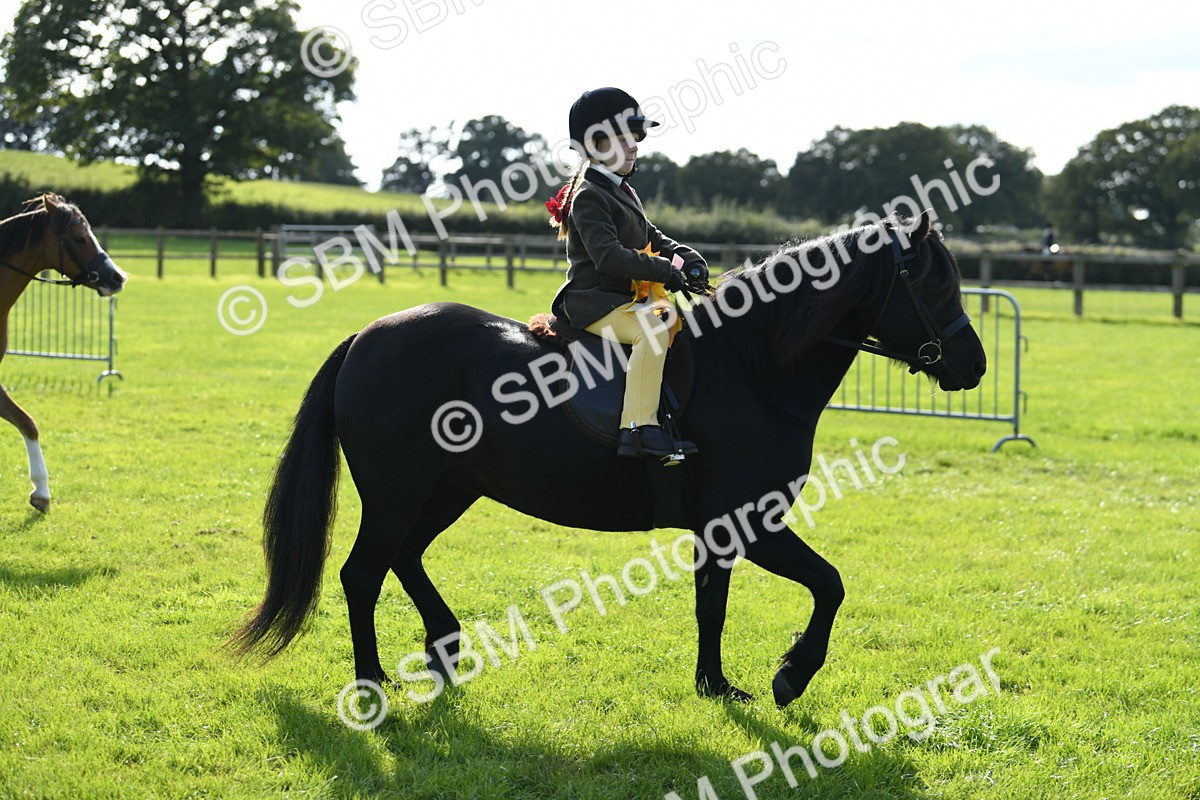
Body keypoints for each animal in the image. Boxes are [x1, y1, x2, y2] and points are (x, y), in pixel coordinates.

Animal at [231, 211, 986, 707]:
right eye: (933, 286)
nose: (975, 365)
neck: (753, 369)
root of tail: (368, 335)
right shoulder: (750, 521)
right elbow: (829, 585)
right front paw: (789, 676)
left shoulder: (722, 530)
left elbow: (713, 605)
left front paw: (715, 685)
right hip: (398, 490)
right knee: (363, 573)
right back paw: (374, 682)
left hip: (449, 488)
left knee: (404, 559)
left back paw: (445, 650)